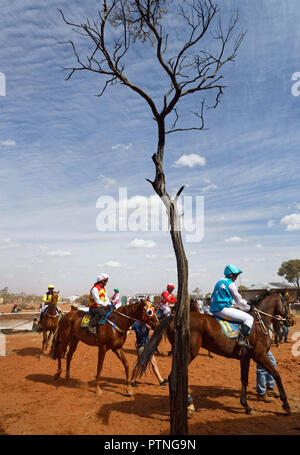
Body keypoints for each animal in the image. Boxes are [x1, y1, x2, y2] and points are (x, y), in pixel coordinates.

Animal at [134, 292, 296, 416]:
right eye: (288, 304)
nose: (291, 320)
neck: (258, 323)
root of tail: (175, 317)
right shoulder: (260, 355)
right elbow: (277, 375)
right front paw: (286, 405)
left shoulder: (246, 358)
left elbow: (244, 380)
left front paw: (246, 406)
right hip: (189, 353)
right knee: (174, 376)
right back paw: (186, 406)